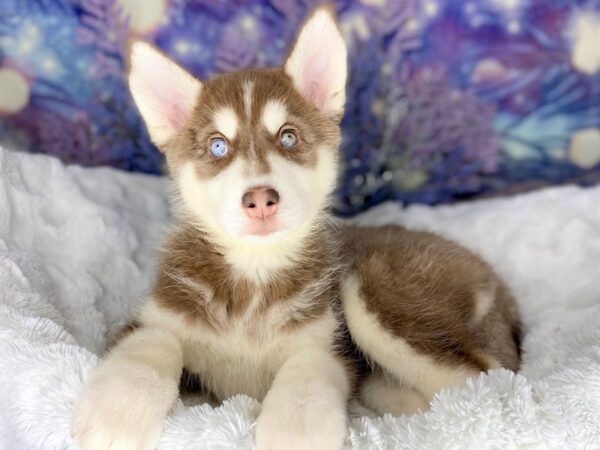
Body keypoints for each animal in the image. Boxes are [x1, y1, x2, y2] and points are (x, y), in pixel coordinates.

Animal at [71, 7, 520, 450]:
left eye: (288, 138)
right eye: (218, 146)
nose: (260, 199)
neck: (253, 277)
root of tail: (490, 274)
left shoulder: (328, 342)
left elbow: (307, 372)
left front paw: (294, 429)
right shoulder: (154, 317)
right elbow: (154, 341)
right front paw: (116, 412)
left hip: (374, 290)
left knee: (489, 377)